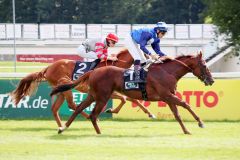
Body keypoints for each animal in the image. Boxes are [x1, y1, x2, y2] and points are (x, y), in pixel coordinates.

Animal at [10, 48, 155, 130]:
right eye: (144, 54)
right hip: (66, 87)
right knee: (72, 105)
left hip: (61, 90)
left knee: (55, 109)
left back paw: (61, 125)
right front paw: (110, 110)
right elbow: (126, 98)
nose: (150, 62)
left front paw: (150, 113)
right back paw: (87, 118)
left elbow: (132, 99)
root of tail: (48, 67)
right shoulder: (110, 92)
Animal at [51, 51, 215, 134]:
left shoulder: (168, 97)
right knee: (93, 115)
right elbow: (185, 104)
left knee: (79, 108)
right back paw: (99, 132)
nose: (211, 80)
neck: (167, 72)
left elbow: (177, 114)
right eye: (204, 65)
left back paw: (63, 128)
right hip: (102, 97)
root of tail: (93, 71)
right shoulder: (167, 95)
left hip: (93, 95)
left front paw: (186, 130)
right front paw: (200, 122)